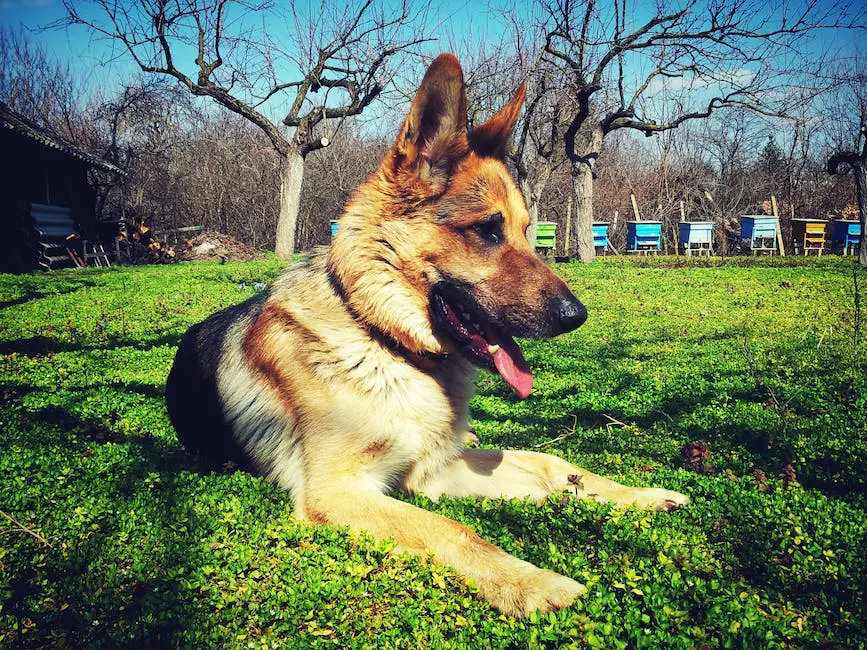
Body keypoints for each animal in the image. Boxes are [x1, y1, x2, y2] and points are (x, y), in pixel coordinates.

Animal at [166, 53, 688, 616]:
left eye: (527, 230)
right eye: (487, 229)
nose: (578, 316)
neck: (384, 341)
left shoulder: (431, 470)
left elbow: (546, 464)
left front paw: (637, 495)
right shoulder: (339, 490)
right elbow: (452, 529)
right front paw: (531, 582)